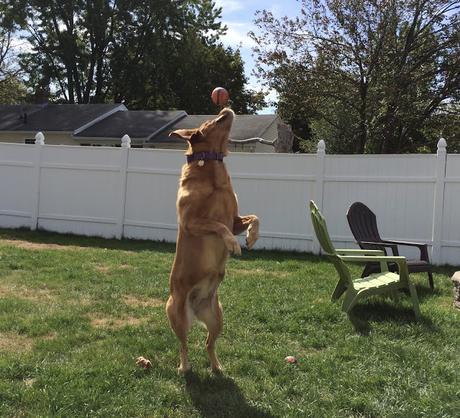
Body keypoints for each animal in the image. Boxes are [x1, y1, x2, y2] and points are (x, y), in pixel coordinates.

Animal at [165, 108, 258, 372]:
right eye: (209, 120)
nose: (225, 108)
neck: (211, 164)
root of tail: (196, 307)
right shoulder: (191, 222)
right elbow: (217, 225)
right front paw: (233, 244)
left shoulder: (235, 220)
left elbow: (254, 218)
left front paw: (251, 237)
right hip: (177, 315)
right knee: (183, 344)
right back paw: (184, 367)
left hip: (218, 317)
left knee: (208, 343)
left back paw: (217, 367)